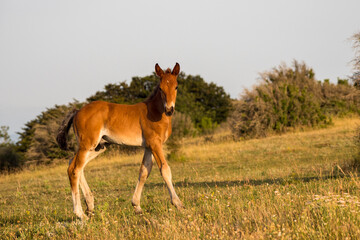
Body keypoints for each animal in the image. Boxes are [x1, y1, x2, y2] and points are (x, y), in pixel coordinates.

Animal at [57, 62, 184, 219]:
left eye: (176, 86)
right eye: (160, 88)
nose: (169, 109)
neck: (155, 112)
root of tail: (77, 111)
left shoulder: (148, 146)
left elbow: (144, 172)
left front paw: (137, 207)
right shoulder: (155, 144)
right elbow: (165, 170)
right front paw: (178, 203)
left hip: (99, 147)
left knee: (74, 165)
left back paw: (90, 206)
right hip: (87, 144)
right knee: (75, 170)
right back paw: (80, 214)